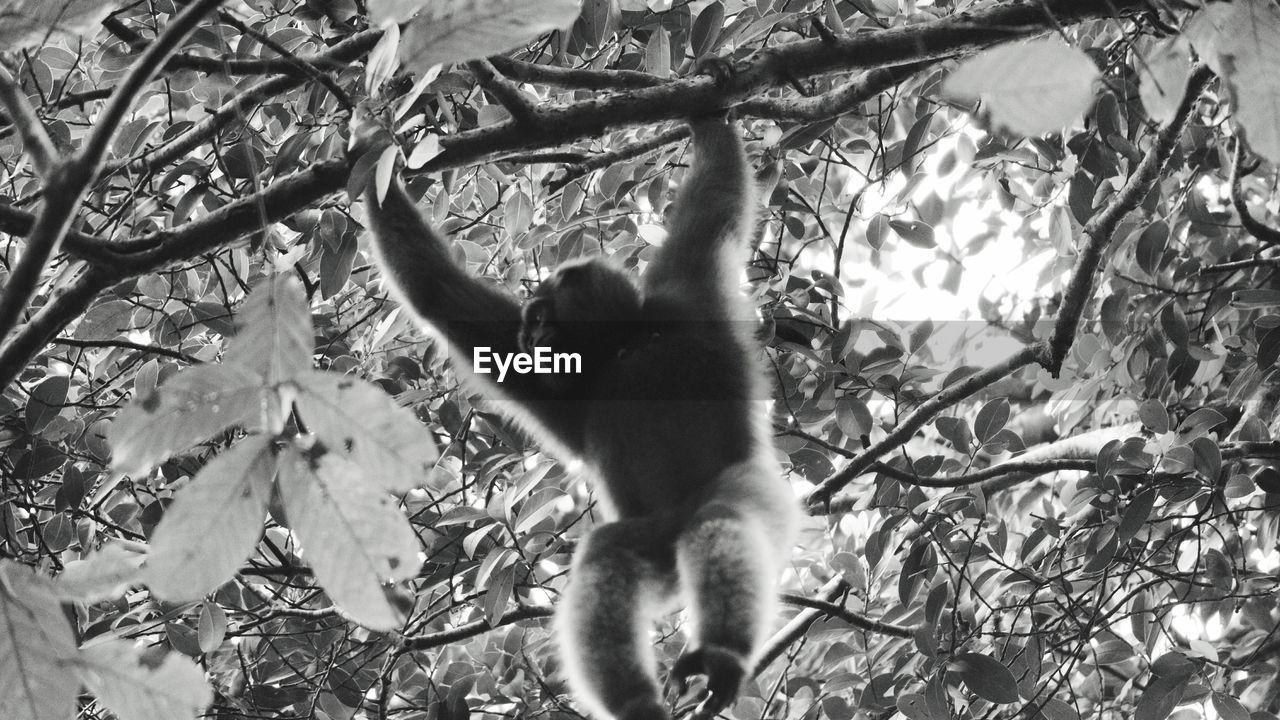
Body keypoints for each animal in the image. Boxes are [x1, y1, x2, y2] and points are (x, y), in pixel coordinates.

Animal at [350, 114, 798, 717]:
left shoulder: (687, 295)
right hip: (652, 541)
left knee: (720, 519)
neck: (621, 350)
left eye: (541, 316)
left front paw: (706, 111)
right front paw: (374, 148)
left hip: (742, 492)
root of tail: (673, 523)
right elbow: (437, 292)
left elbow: (717, 199)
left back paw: (721, 652)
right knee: (609, 555)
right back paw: (637, 701)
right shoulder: (573, 382)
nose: (528, 337)